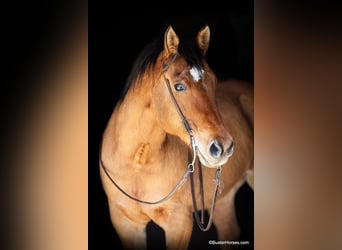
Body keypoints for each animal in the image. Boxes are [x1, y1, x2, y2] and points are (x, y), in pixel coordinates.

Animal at [99, 24, 254, 249]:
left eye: (214, 81)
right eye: (179, 86)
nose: (223, 147)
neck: (137, 165)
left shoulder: (179, 223)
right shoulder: (125, 222)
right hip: (221, 200)